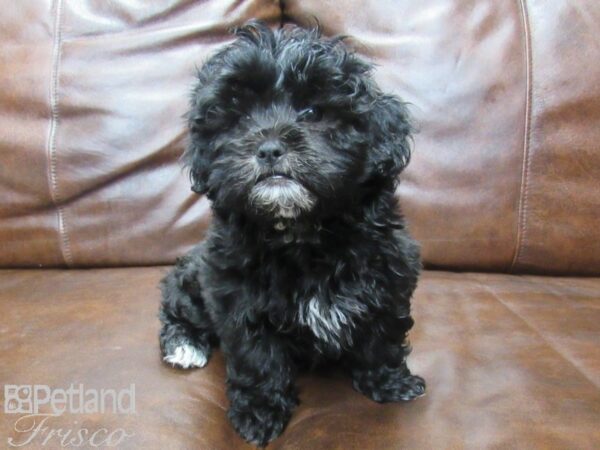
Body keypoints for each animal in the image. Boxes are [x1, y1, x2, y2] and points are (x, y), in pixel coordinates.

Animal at [157, 20, 424, 446]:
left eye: (313, 112)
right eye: (239, 119)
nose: (268, 148)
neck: (301, 231)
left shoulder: (389, 273)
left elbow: (383, 334)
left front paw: (390, 383)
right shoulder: (235, 293)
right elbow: (256, 357)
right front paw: (259, 414)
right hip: (194, 281)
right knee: (175, 305)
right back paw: (184, 345)